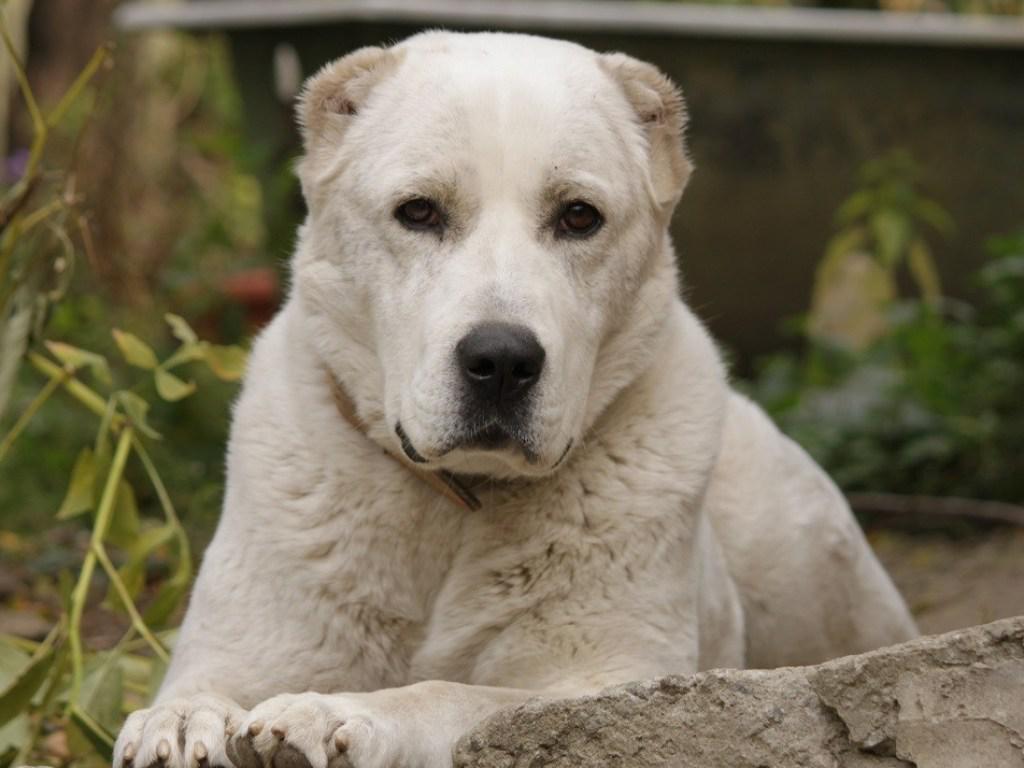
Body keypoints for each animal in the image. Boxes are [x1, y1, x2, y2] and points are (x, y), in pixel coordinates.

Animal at [116, 33, 917, 768]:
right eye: (418, 212)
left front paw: (334, 712)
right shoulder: (241, 649)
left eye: (579, 217)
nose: (501, 360)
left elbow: (449, 694)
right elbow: (197, 689)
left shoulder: (608, 687)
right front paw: (182, 722)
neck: (453, 506)